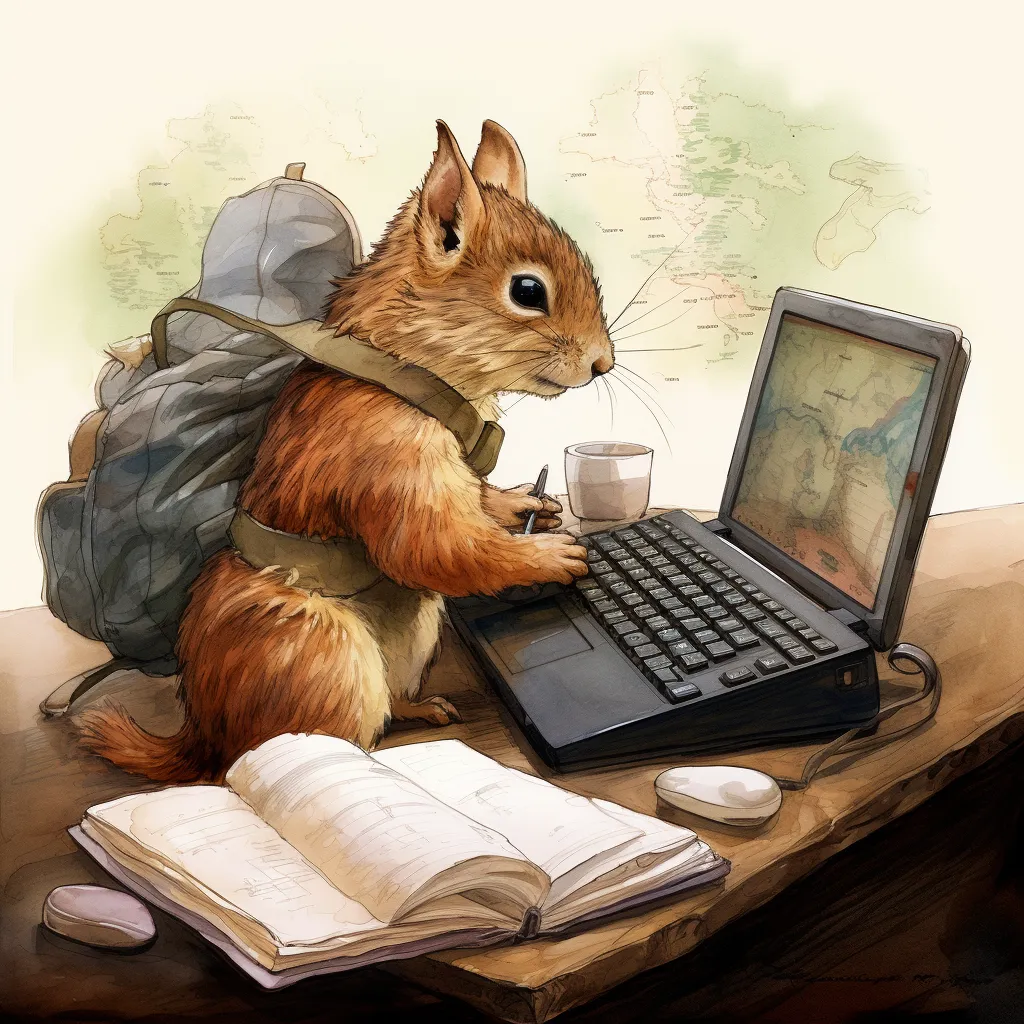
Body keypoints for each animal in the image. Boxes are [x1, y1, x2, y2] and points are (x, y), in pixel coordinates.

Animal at [78, 119, 613, 783]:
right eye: (528, 290)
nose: (603, 364)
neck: (406, 371)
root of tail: (205, 731)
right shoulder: (386, 458)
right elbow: (438, 547)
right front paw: (548, 555)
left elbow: (475, 506)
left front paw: (521, 505)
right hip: (323, 658)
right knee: (281, 754)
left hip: (410, 638)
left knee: (388, 701)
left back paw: (422, 709)